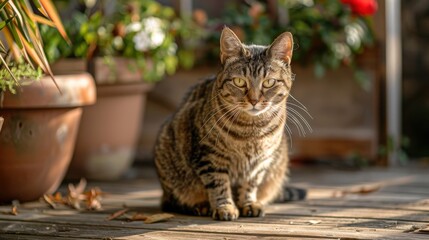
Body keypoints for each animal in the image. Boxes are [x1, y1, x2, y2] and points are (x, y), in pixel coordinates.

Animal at [155, 26, 302, 221]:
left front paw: (248, 203)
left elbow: (250, 184)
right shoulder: (210, 156)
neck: (252, 130)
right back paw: (200, 206)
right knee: (171, 201)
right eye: (239, 81)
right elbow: (219, 185)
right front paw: (225, 207)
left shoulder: (259, 163)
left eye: (269, 82)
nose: (254, 100)